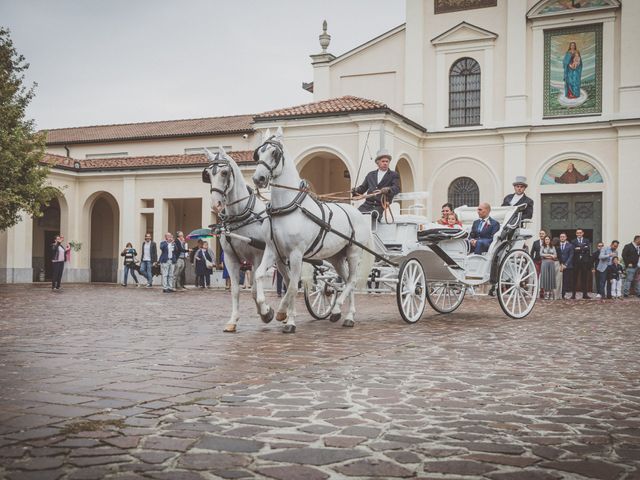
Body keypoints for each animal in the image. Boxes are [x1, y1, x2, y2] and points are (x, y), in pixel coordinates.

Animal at [201, 148, 274, 332]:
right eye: (207, 175)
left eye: (224, 172)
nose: (216, 205)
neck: (241, 216)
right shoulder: (230, 258)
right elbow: (235, 290)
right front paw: (233, 320)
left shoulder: (258, 256)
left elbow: (255, 289)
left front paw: (266, 312)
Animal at [251, 126, 370, 334]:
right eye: (258, 152)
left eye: (275, 153)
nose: (259, 178)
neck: (286, 208)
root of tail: (357, 213)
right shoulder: (273, 251)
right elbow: (262, 275)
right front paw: (267, 312)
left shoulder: (296, 254)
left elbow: (292, 286)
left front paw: (289, 320)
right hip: (337, 257)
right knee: (346, 280)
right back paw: (345, 315)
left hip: (354, 252)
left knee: (352, 280)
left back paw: (341, 311)